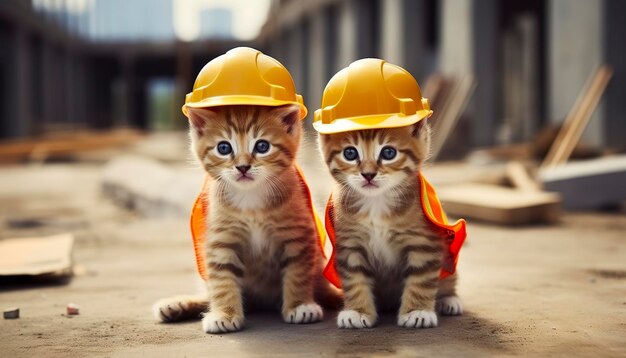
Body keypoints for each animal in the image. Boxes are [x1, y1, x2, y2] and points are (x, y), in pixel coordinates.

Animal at [152, 104, 332, 332]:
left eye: (262, 146)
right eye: (223, 148)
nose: (243, 167)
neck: (250, 199)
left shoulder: (298, 235)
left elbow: (298, 272)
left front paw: (300, 306)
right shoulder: (221, 239)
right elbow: (222, 281)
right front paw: (224, 314)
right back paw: (178, 305)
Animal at [316, 121, 458, 328]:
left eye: (389, 153)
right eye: (350, 153)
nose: (368, 174)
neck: (376, 203)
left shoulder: (424, 243)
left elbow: (421, 279)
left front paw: (417, 311)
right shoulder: (351, 244)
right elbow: (354, 279)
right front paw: (358, 311)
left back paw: (450, 300)